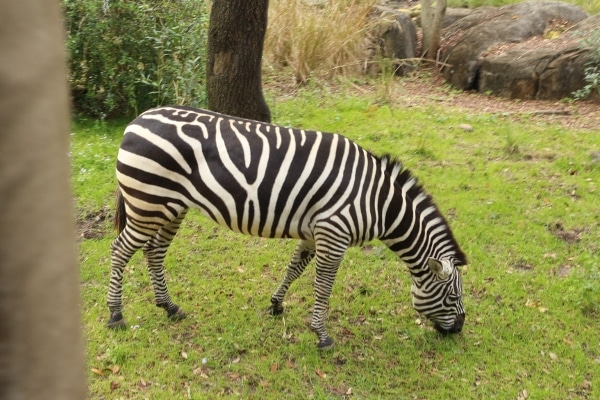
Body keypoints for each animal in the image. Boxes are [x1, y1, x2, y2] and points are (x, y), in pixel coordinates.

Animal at [108, 106, 466, 350]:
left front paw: (276, 304)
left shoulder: (314, 232)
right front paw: (322, 335)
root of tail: (138, 119)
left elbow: (295, 268)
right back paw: (115, 315)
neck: (377, 201)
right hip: (147, 203)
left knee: (154, 251)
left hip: (170, 207)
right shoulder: (334, 233)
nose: (460, 329)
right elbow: (323, 286)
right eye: (452, 296)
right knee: (120, 250)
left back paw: (169, 307)